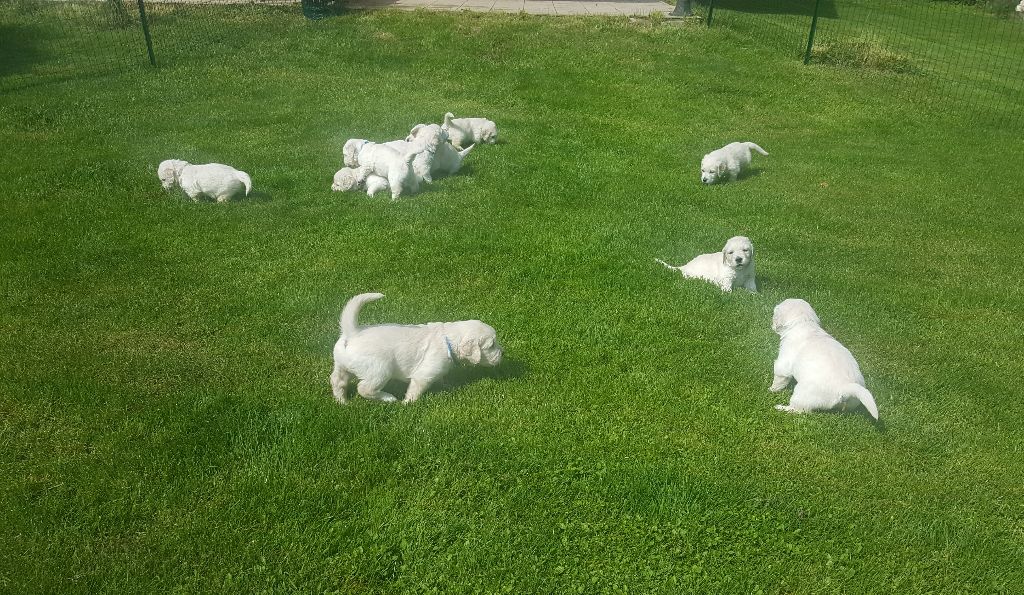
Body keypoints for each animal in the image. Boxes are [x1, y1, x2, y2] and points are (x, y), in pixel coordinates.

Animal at [329, 292, 501, 403]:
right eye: (492, 345)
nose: (503, 354)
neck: (448, 340)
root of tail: (352, 332)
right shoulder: (424, 374)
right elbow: (416, 389)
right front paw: (408, 403)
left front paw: (447, 385)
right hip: (379, 370)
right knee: (364, 388)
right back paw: (388, 398)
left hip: (342, 365)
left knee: (338, 381)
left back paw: (342, 401)